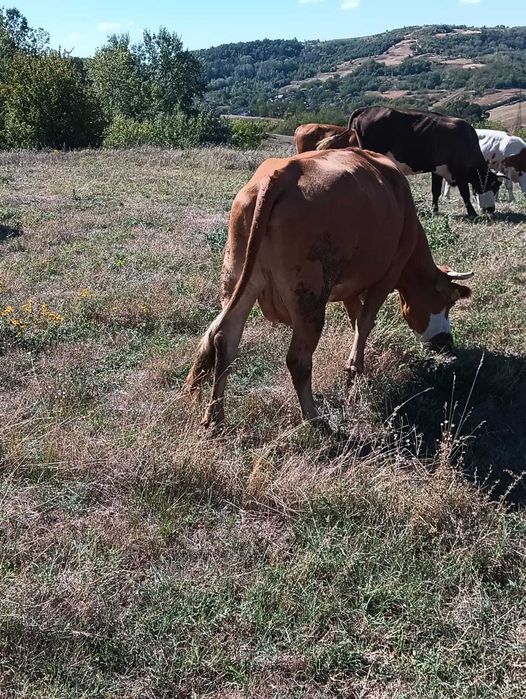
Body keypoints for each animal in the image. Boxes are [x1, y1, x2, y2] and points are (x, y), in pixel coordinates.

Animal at [185, 148, 473, 428]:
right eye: (448, 301)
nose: (446, 341)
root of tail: (280, 175)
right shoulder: (388, 275)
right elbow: (365, 322)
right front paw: (353, 371)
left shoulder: (350, 287)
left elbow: (357, 321)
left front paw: (359, 365)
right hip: (309, 299)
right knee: (297, 360)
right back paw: (314, 418)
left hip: (237, 280)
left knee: (224, 340)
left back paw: (215, 417)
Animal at [317, 106, 501, 217]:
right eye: (493, 187)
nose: (491, 209)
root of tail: (367, 109)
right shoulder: (459, 171)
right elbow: (465, 193)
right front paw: (472, 212)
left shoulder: (437, 169)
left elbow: (435, 191)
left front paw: (435, 210)